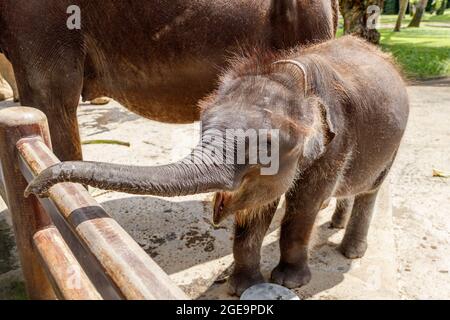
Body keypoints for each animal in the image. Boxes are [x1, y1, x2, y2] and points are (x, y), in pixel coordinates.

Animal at [26, 35, 410, 296]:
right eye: (203, 125)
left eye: (266, 146)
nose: (32, 189)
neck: (291, 75)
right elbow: (255, 210)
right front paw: (242, 287)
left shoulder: (335, 145)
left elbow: (303, 206)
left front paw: (288, 282)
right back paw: (335, 223)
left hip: (393, 145)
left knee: (371, 190)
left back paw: (351, 250)